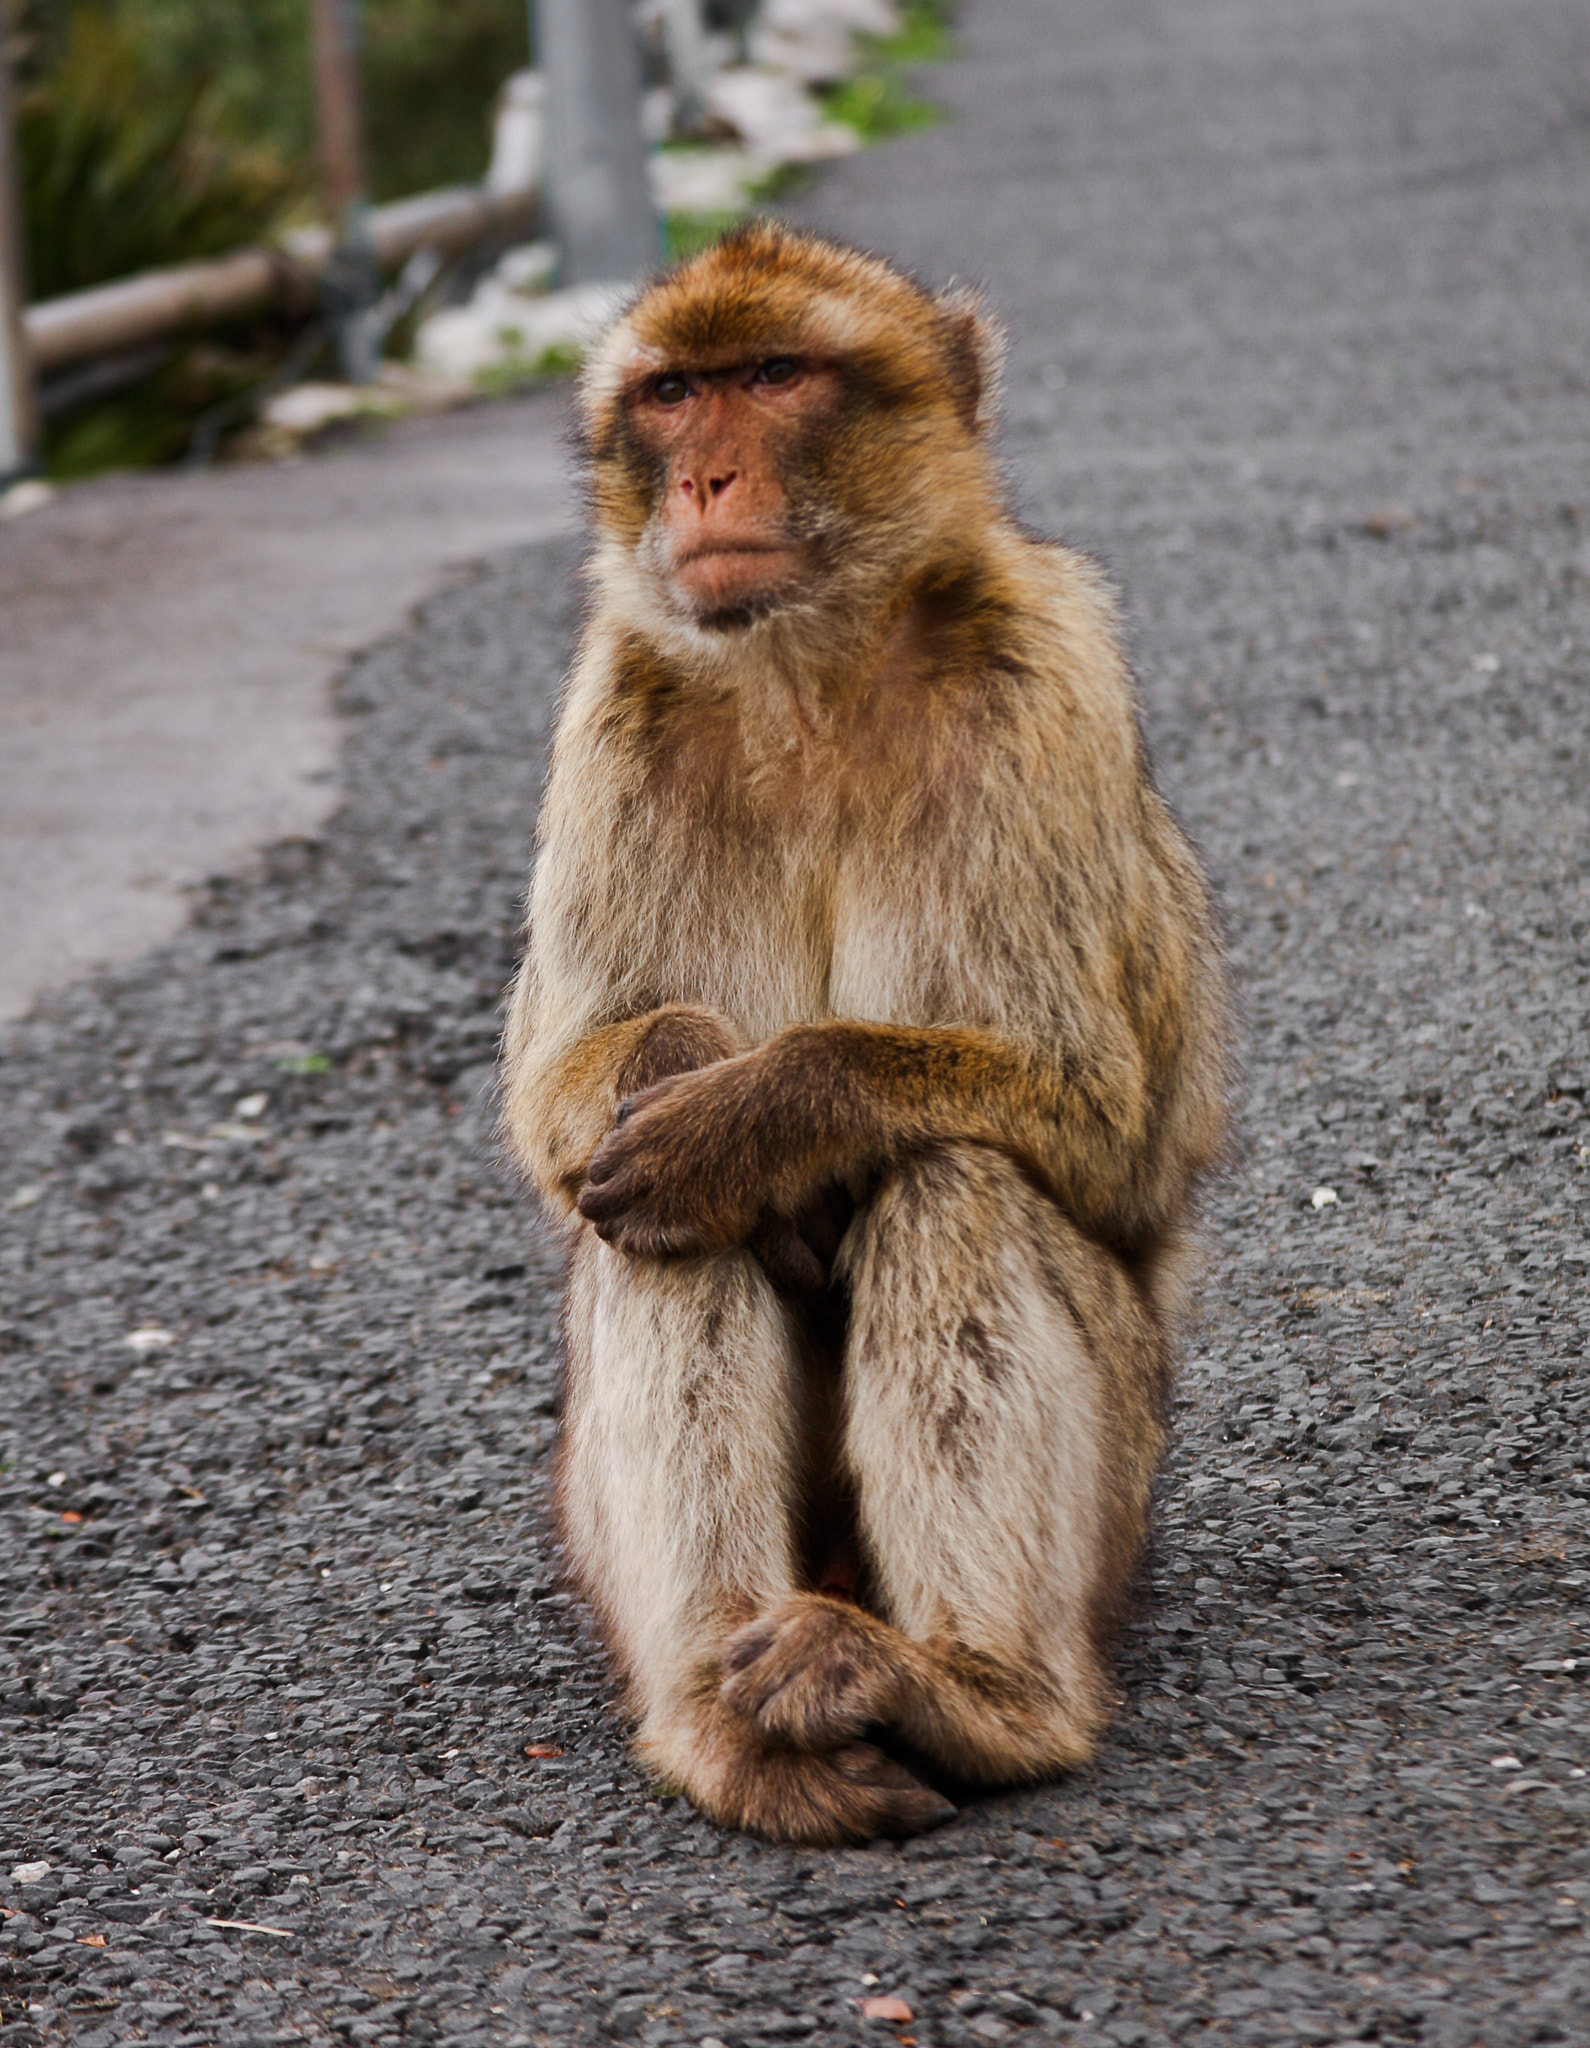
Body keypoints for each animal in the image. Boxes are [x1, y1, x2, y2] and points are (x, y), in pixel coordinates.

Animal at [495, 224, 1229, 1859]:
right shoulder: (610, 714)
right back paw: (722, 1718)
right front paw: (678, 1068)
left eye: (775, 376)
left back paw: (971, 1693)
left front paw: (758, 1113)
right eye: (673, 394)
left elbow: (1108, 1120)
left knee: (955, 1175)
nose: (705, 480)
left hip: (1126, 1484)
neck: (805, 677)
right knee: (653, 1239)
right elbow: (562, 1084)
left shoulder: (1044, 684)